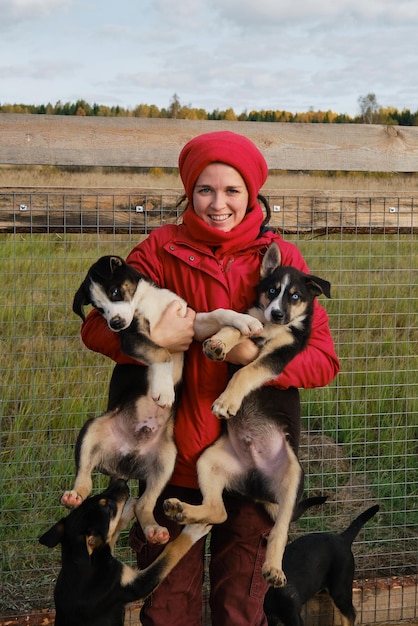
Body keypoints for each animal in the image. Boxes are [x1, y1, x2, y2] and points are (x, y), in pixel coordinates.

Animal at [38, 478, 211, 624]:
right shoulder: (137, 585)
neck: (79, 564)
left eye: (92, 497)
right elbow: (171, 551)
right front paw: (195, 528)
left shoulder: (106, 550)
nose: (121, 480)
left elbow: (115, 528)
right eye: (107, 506)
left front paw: (131, 507)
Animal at [163, 243, 330, 584]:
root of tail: (256, 486)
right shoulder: (249, 320)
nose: (276, 313)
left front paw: (226, 403)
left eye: (295, 296)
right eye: (272, 290)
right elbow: (233, 325)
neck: (274, 328)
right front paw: (218, 343)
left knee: (280, 531)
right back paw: (182, 510)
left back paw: (274, 568)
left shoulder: (279, 355)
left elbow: (247, 371)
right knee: (219, 511)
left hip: (292, 477)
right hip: (209, 460)